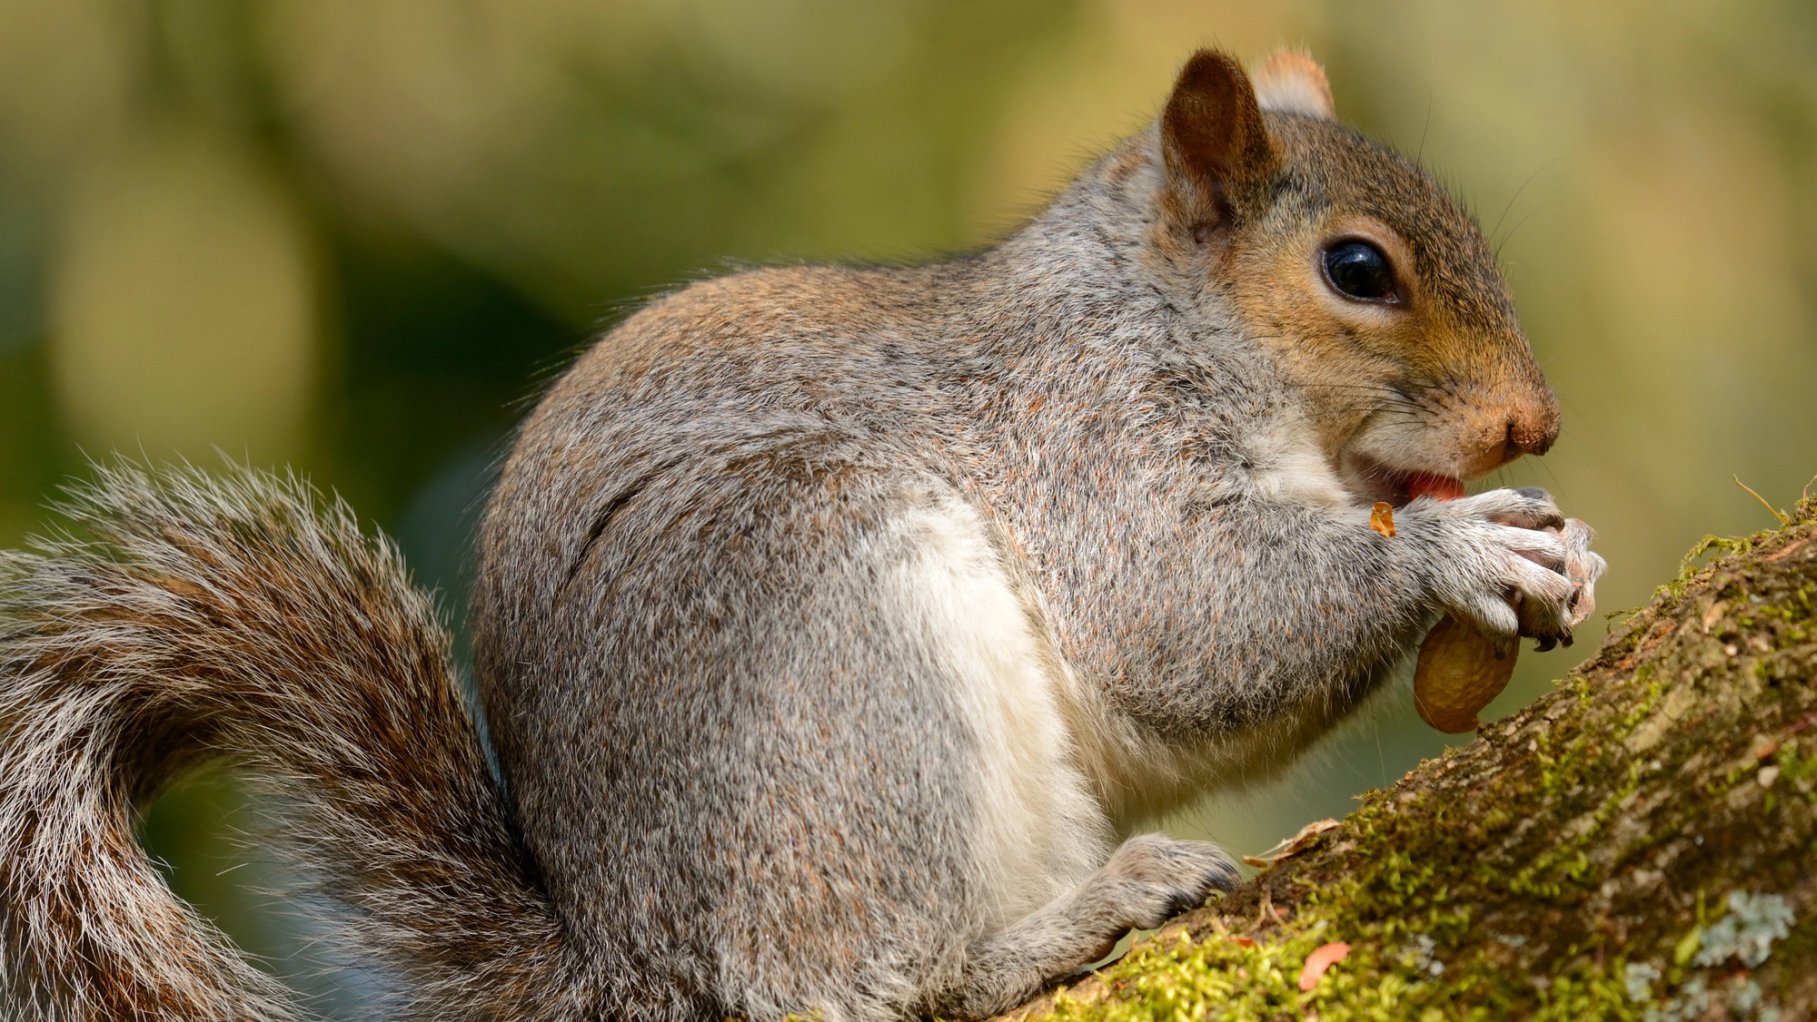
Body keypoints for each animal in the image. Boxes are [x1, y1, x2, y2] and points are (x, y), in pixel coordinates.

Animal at [0, 49, 1600, 1022]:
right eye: (1356, 269)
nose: (1534, 424)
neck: (1159, 313)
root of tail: (626, 962)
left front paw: (1559, 551)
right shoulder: (1088, 437)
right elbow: (1176, 626)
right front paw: (1461, 554)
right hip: (822, 627)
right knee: (868, 981)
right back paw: (1067, 922)